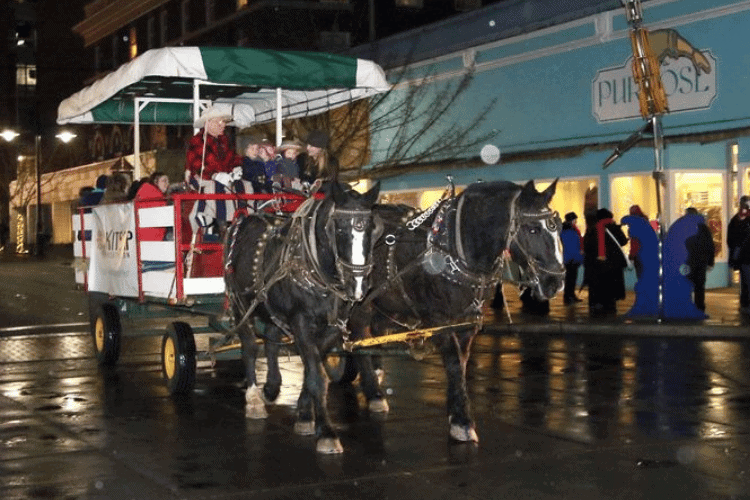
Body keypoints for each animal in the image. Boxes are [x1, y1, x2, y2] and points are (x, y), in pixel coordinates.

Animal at [223, 180, 382, 454]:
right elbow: (317, 374)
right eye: (339, 228)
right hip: (240, 302)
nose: (359, 286)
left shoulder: (333, 324)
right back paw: (254, 397)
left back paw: (272, 386)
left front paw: (305, 413)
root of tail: (243, 220)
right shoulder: (300, 321)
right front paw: (326, 432)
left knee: (271, 339)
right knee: (250, 346)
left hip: (271, 306)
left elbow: (313, 366)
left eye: (373, 228)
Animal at [346, 179, 564, 442]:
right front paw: (462, 421)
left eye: (557, 226)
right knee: (358, 338)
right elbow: (452, 361)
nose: (556, 282)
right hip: (361, 305)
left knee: (375, 331)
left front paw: (455, 412)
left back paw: (376, 372)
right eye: (532, 229)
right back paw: (374, 393)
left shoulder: (467, 322)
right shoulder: (439, 319)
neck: (456, 251)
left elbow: (461, 362)